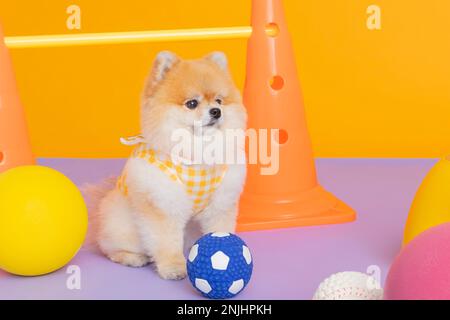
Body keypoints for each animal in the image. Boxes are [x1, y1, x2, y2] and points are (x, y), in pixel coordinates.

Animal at [86, 52, 248, 280]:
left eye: (219, 101)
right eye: (192, 103)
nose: (216, 111)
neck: (197, 151)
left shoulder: (221, 203)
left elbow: (220, 227)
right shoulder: (163, 206)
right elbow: (167, 242)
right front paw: (174, 268)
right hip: (125, 226)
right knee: (109, 247)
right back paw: (131, 257)